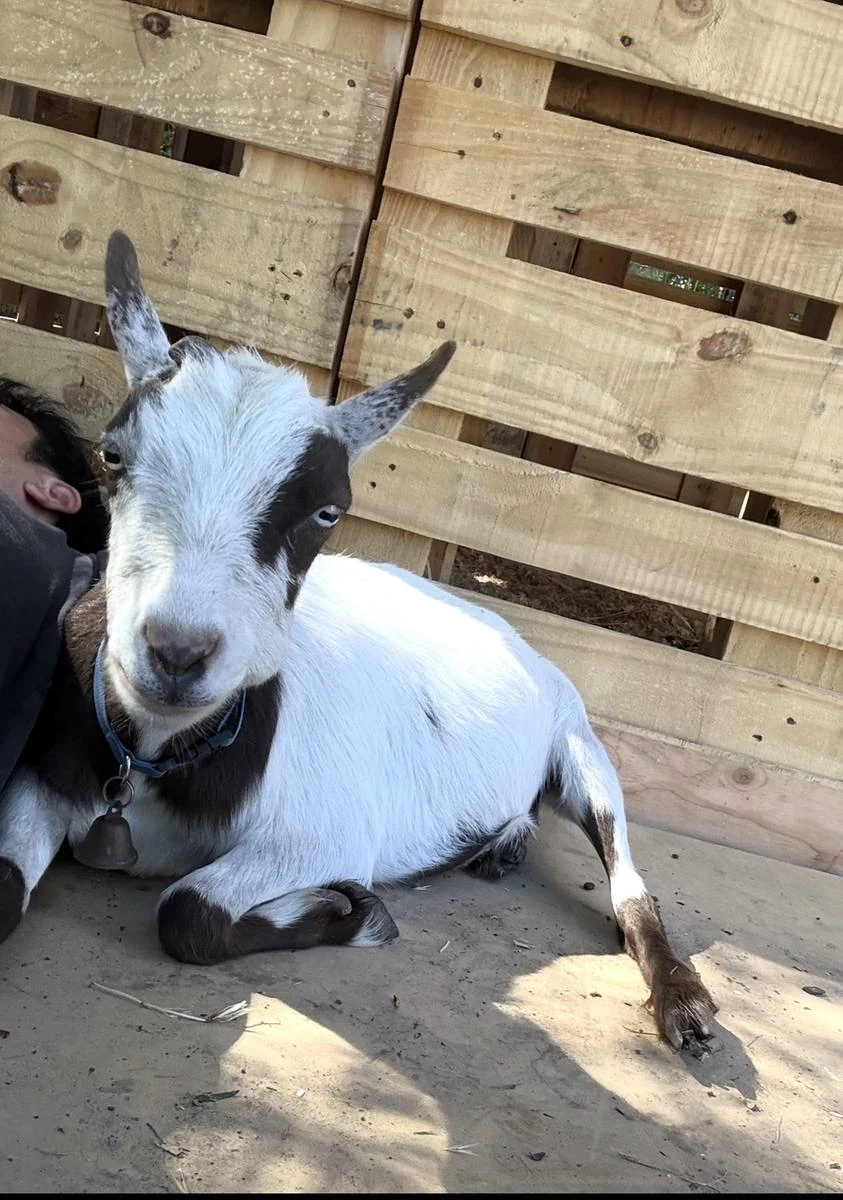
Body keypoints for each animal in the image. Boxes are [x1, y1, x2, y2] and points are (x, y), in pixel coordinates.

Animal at [0, 232, 716, 1049]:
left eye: (327, 511)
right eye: (113, 455)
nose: (178, 653)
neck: (158, 757)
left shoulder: (324, 836)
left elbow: (187, 913)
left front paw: (349, 914)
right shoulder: (44, 781)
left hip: (579, 743)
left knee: (628, 880)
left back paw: (684, 1006)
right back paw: (503, 845)